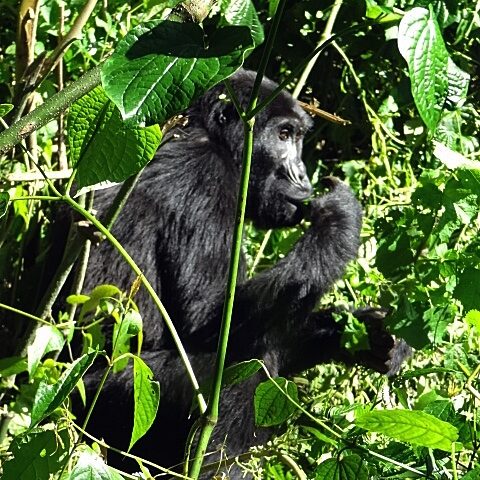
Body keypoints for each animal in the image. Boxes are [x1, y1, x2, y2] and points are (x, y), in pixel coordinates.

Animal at [79, 69, 408, 478]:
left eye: (297, 137)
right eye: (284, 135)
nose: (302, 174)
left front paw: (358, 335)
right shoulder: (205, 178)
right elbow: (209, 325)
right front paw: (338, 219)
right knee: (238, 372)